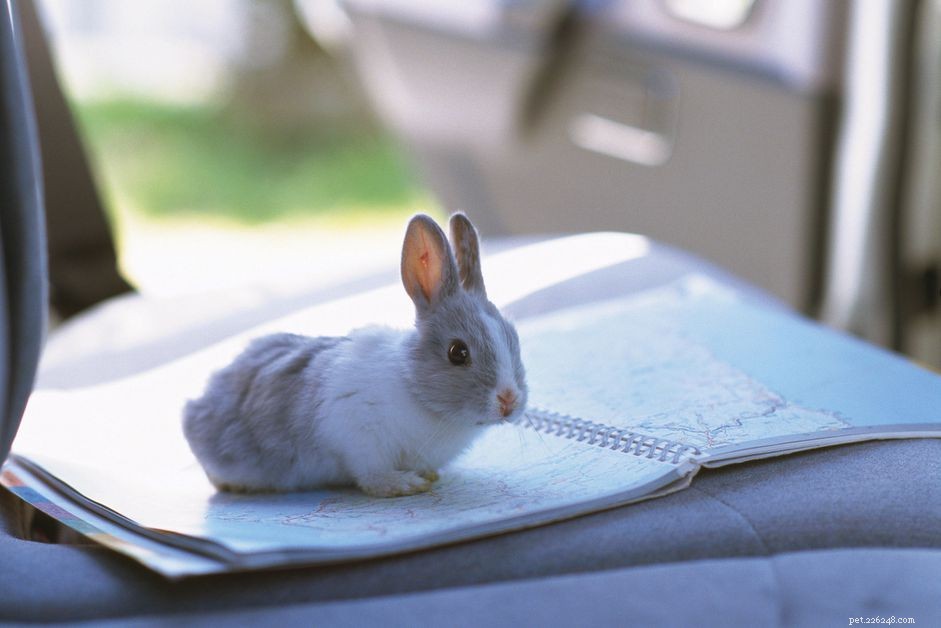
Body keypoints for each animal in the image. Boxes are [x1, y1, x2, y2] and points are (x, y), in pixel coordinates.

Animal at [182, 213, 528, 497]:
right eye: (458, 352)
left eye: (513, 338)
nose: (509, 400)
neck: (413, 388)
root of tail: (198, 405)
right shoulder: (358, 436)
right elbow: (372, 477)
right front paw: (405, 484)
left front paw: (428, 476)